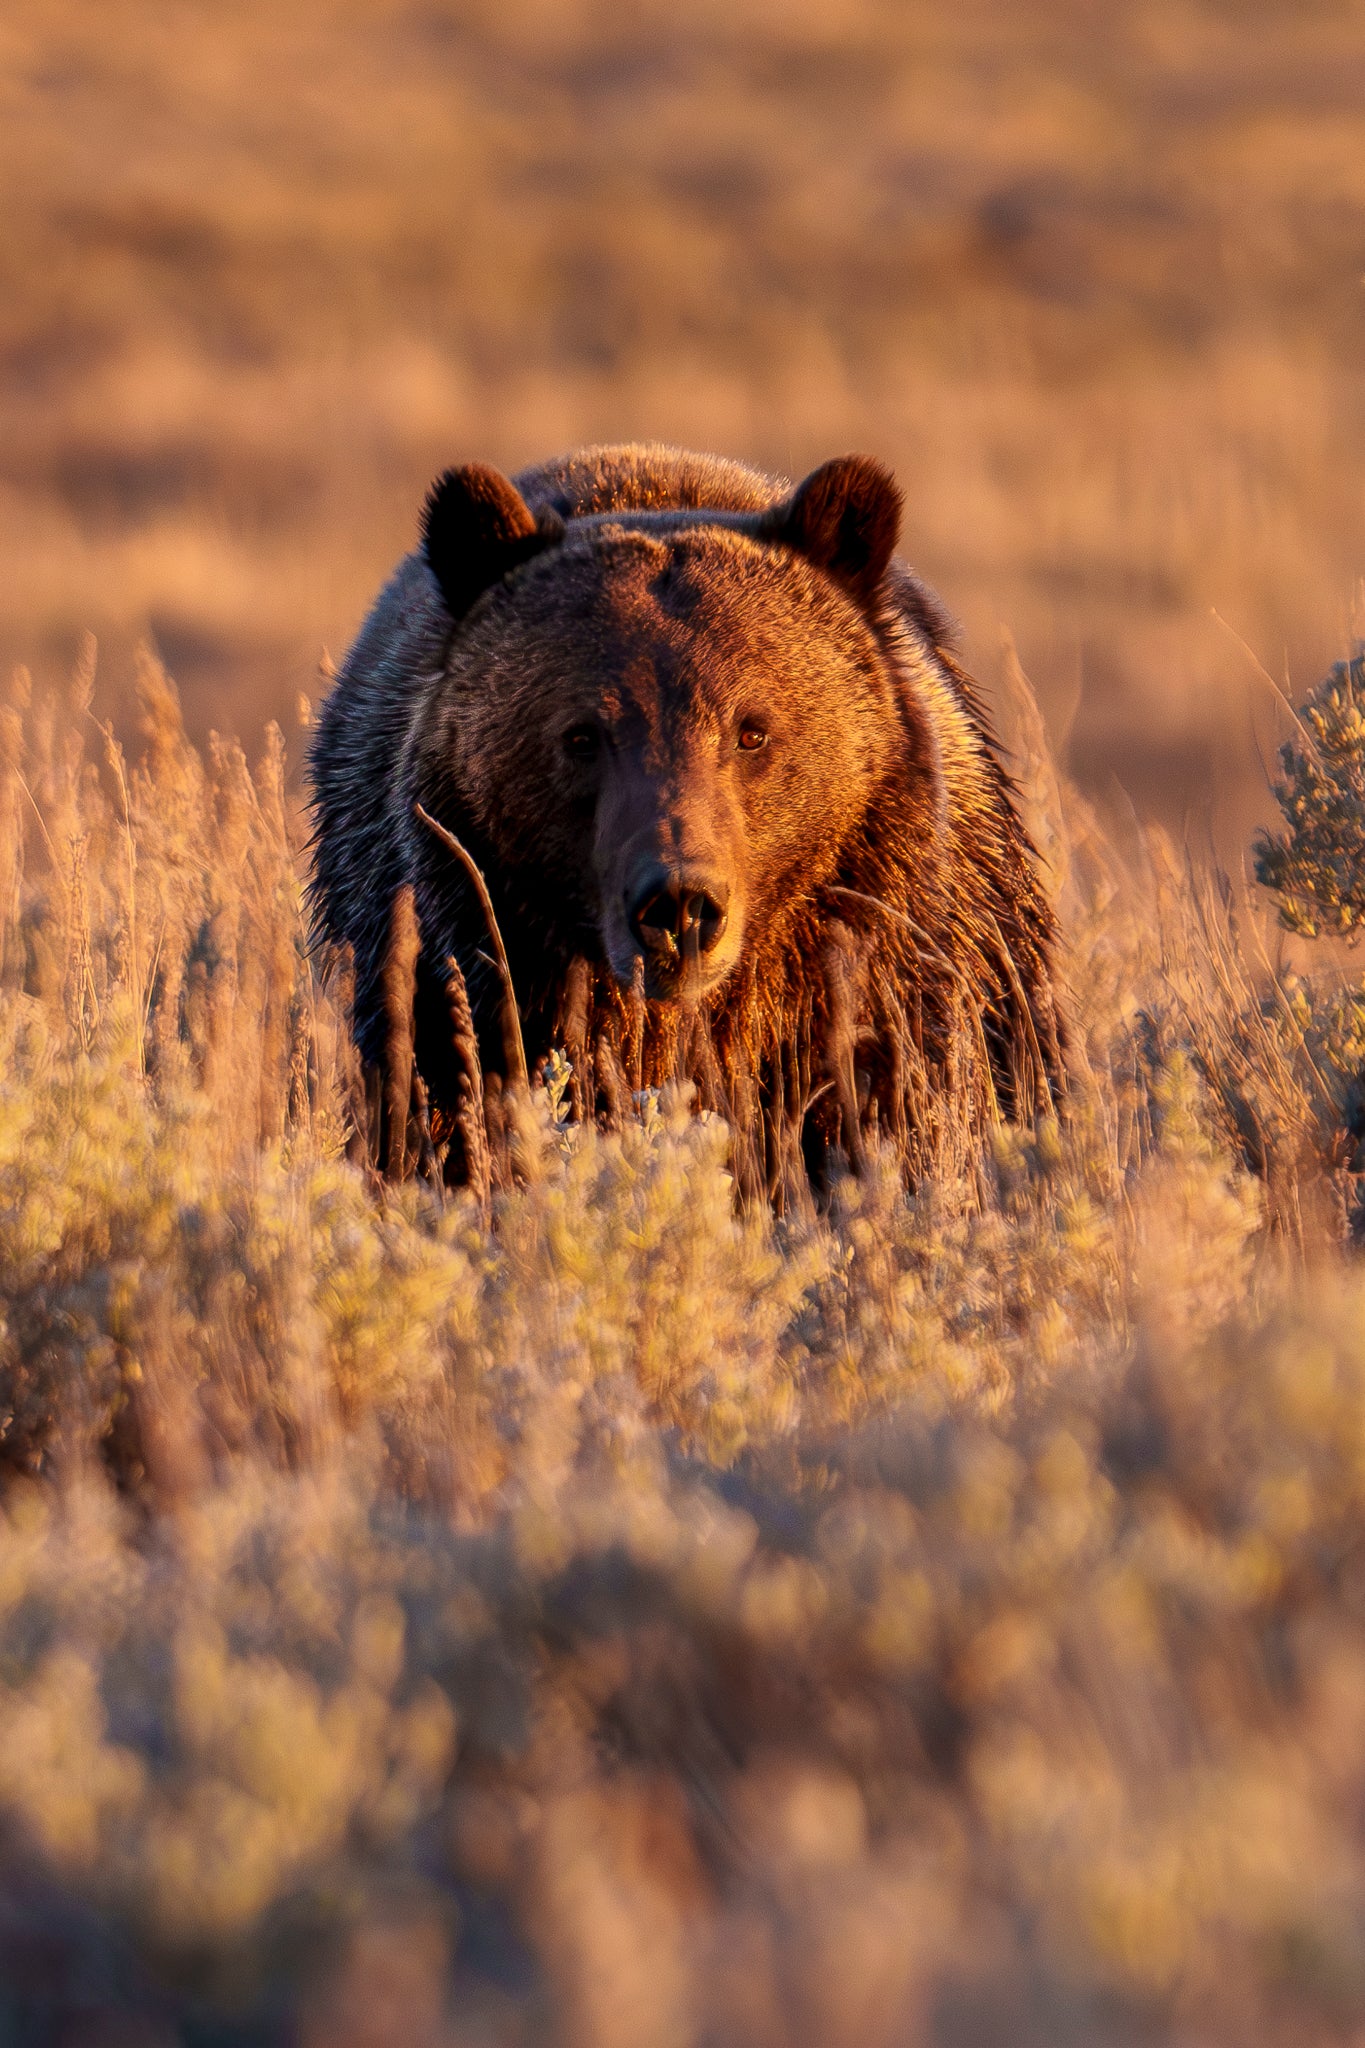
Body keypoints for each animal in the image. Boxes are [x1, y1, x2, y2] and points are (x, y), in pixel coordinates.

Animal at [308, 443, 1064, 1202]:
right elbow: (445, 1115)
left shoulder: (885, 960)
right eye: (582, 735)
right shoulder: (459, 971)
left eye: (752, 731)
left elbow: (907, 1109)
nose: (679, 906)